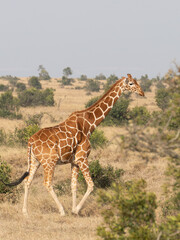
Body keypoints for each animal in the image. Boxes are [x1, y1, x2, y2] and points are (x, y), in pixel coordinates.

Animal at [1, 73, 145, 216]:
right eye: (131, 83)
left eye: (136, 81)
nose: (142, 92)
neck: (90, 124)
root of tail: (30, 141)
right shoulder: (82, 157)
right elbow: (91, 185)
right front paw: (76, 210)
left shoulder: (74, 161)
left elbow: (74, 186)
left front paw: (74, 209)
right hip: (49, 162)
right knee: (47, 183)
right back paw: (61, 210)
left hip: (34, 161)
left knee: (27, 181)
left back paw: (25, 212)